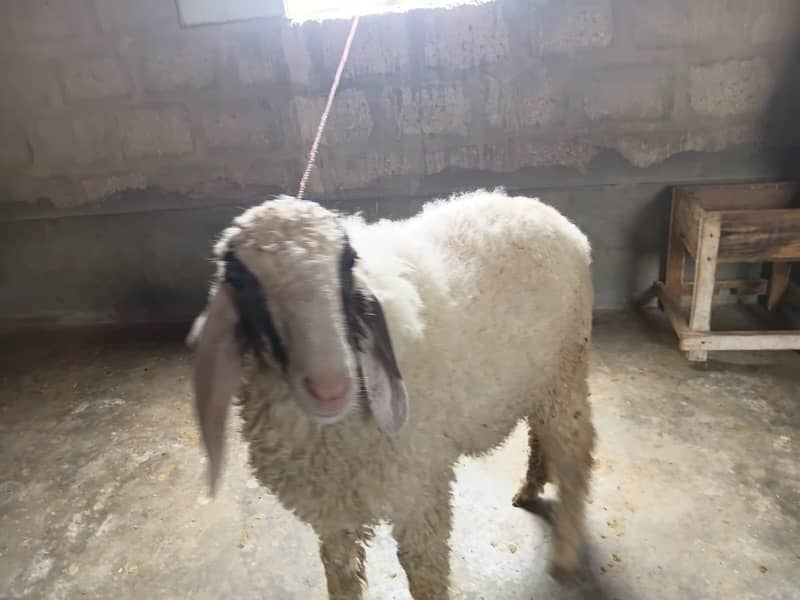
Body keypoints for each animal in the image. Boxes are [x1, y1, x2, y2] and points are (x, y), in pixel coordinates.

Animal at [189, 189, 595, 599]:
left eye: (348, 261)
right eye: (239, 280)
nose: (330, 387)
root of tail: (544, 210)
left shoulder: (418, 494)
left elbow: (425, 578)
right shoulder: (334, 514)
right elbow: (341, 577)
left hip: (566, 369)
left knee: (574, 456)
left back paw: (565, 549)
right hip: (541, 380)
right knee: (541, 436)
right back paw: (530, 488)